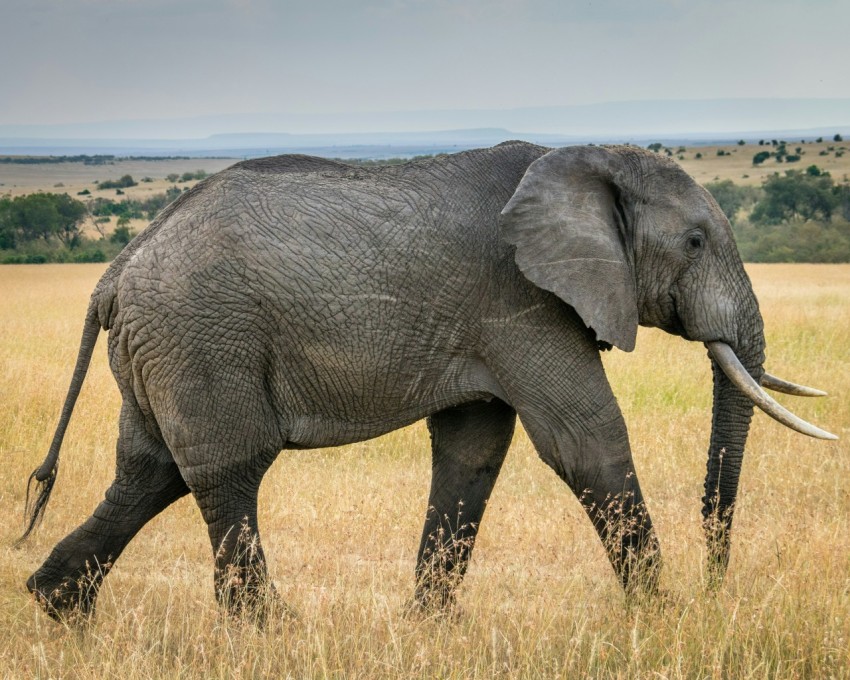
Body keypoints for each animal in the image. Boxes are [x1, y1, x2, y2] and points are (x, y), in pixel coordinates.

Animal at [21, 141, 836, 620]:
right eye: (694, 241)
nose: (716, 587)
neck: (581, 160)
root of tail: (117, 270)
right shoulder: (520, 301)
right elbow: (586, 440)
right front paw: (659, 617)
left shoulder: (488, 323)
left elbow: (473, 452)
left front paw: (428, 626)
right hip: (201, 337)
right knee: (226, 470)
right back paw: (266, 633)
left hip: (162, 349)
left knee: (149, 472)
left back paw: (57, 610)